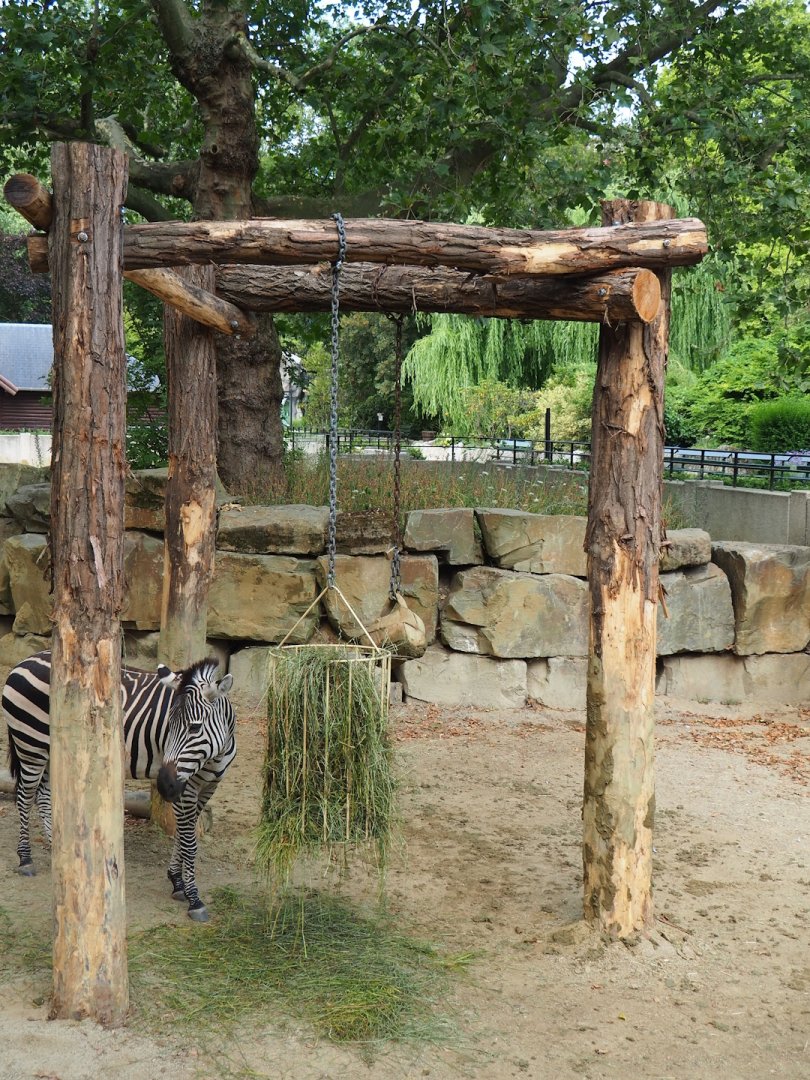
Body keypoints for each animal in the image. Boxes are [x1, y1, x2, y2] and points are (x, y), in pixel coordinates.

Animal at [3, 650, 236, 922]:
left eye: (195, 727)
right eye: (168, 725)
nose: (164, 785)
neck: (215, 754)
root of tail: (23, 661)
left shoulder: (208, 786)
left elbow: (183, 835)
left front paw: (177, 881)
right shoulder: (185, 787)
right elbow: (189, 842)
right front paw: (193, 897)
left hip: (54, 747)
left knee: (44, 794)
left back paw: (56, 848)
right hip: (31, 745)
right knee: (24, 796)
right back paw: (25, 859)